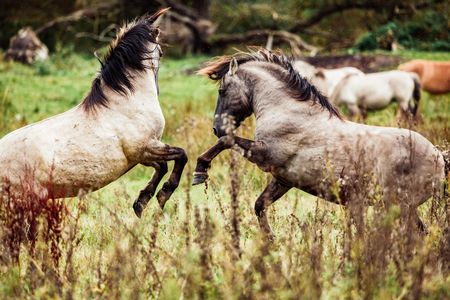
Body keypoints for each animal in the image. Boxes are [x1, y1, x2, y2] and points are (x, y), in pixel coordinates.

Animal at [0, 8, 186, 217]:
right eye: (160, 52)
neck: (126, 101)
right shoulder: (146, 148)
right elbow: (181, 156)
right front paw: (162, 195)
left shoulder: (142, 156)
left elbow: (162, 166)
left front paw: (141, 202)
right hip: (22, 201)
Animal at [192, 49, 446, 237]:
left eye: (222, 90)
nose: (216, 127)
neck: (288, 110)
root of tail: (439, 157)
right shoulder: (283, 179)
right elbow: (259, 205)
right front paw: (270, 241)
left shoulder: (265, 154)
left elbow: (227, 141)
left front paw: (200, 171)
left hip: (398, 206)